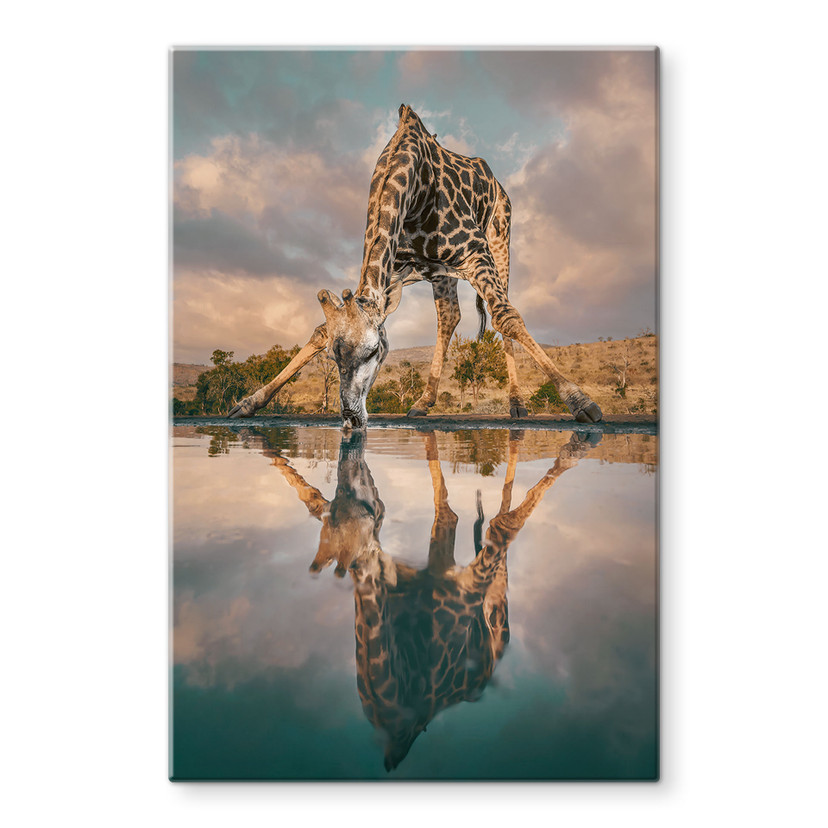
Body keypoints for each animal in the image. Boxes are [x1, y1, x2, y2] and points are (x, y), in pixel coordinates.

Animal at [229, 104, 603, 429]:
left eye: (374, 351)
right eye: (334, 360)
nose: (351, 418)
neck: (415, 190)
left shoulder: (475, 251)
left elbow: (506, 317)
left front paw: (581, 402)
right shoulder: (392, 274)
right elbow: (321, 331)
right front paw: (248, 403)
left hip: (500, 240)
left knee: (500, 312)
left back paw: (516, 404)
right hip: (440, 273)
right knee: (449, 317)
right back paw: (423, 402)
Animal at [268, 428, 600, 770]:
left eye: (370, 509)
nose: (353, 464)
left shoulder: (463, 581)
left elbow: (498, 524)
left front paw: (574, 450)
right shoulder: (438, 565)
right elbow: (452, 504)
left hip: (496, 600)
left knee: (500, 529)